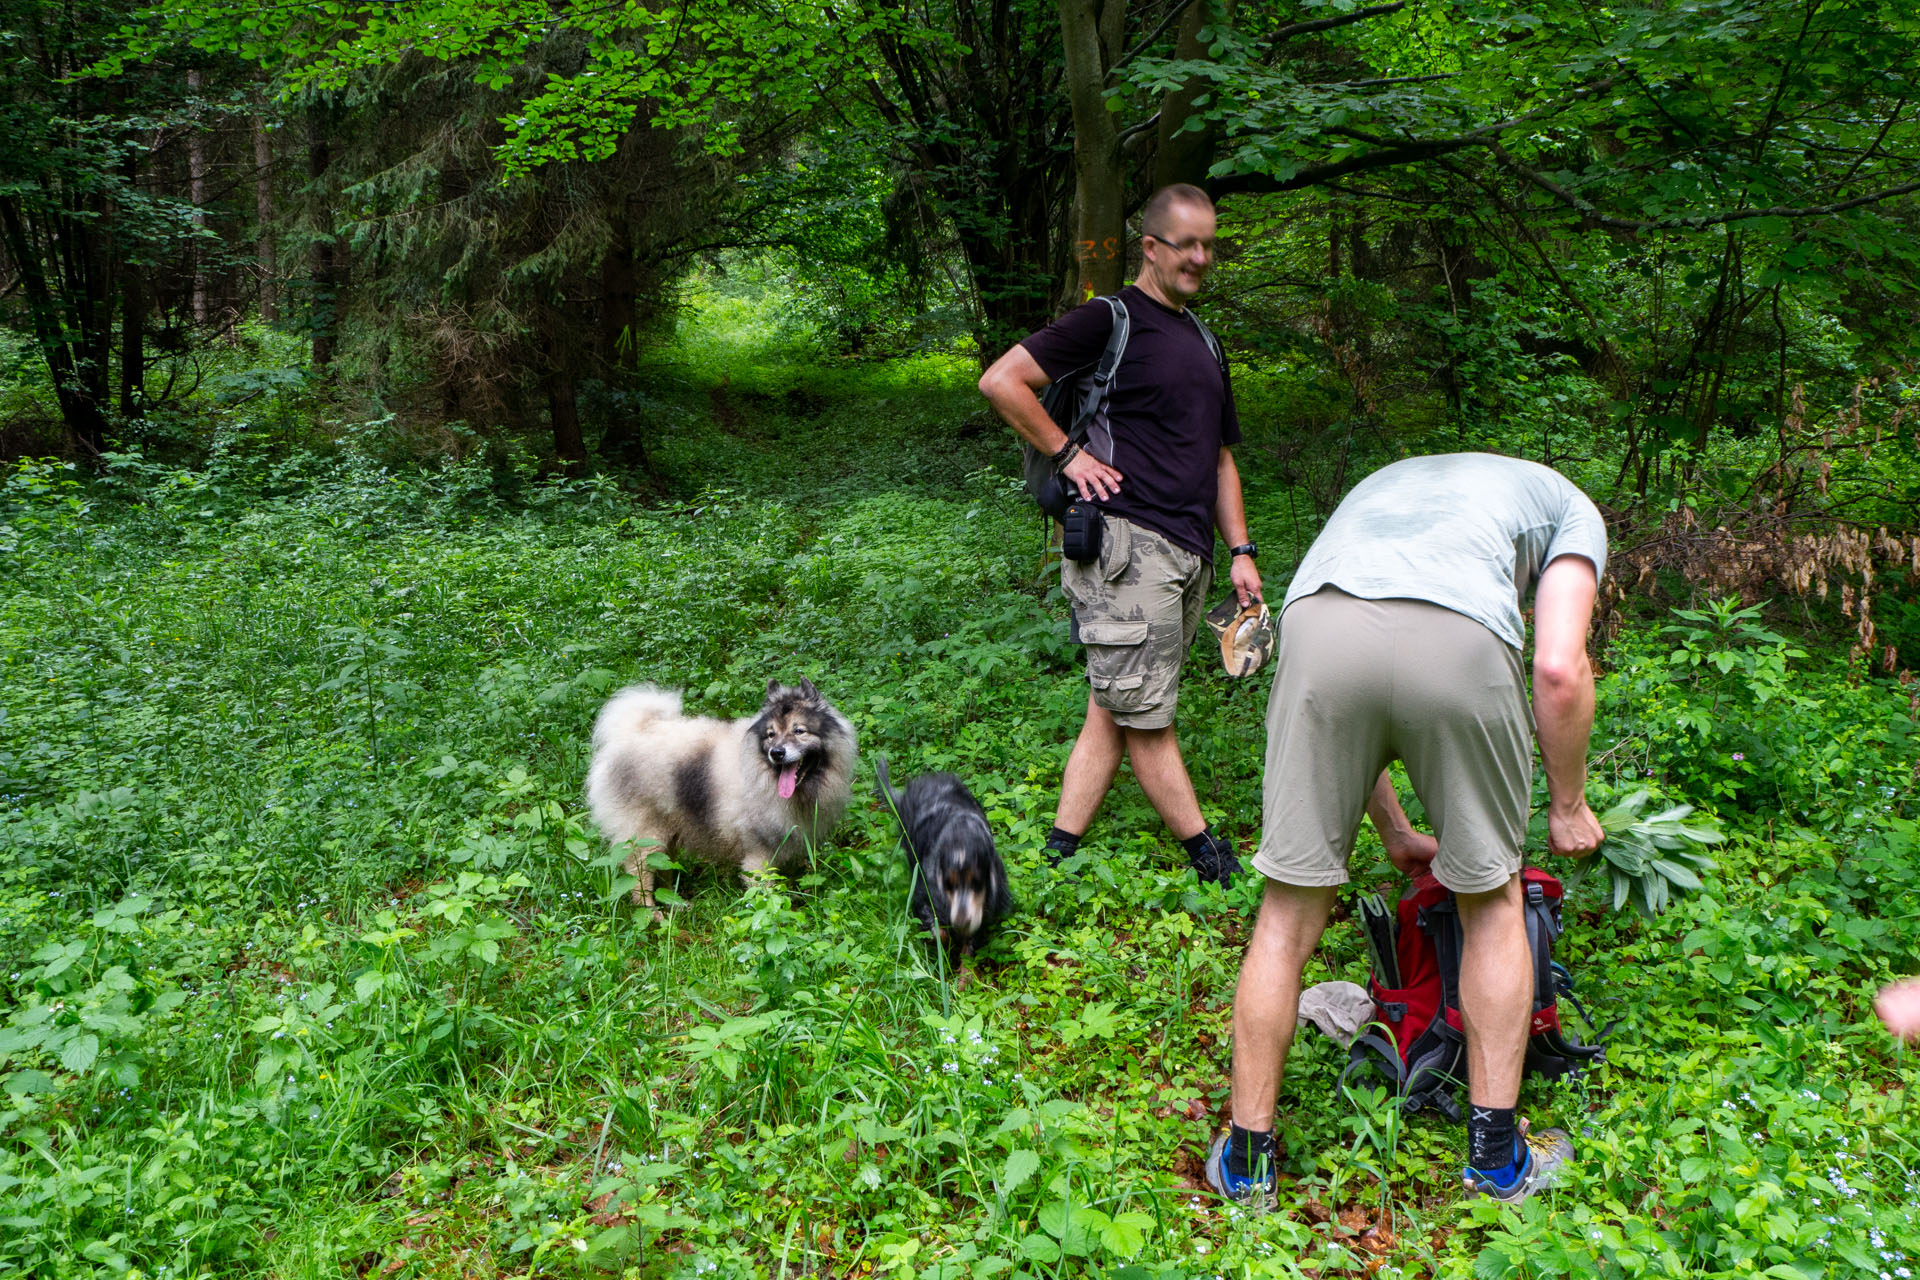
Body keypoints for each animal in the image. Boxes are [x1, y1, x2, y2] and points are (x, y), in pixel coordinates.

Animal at [583, 679, 856, 909]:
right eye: (771, 735)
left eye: (799, 731)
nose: (777, 753)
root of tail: (631, 732)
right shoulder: (759, 855)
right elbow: (766, 895)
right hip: (645, 836)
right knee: (640, 878)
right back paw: (652, 916)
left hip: (668, 831)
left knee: (664, 868)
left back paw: (675, 904)